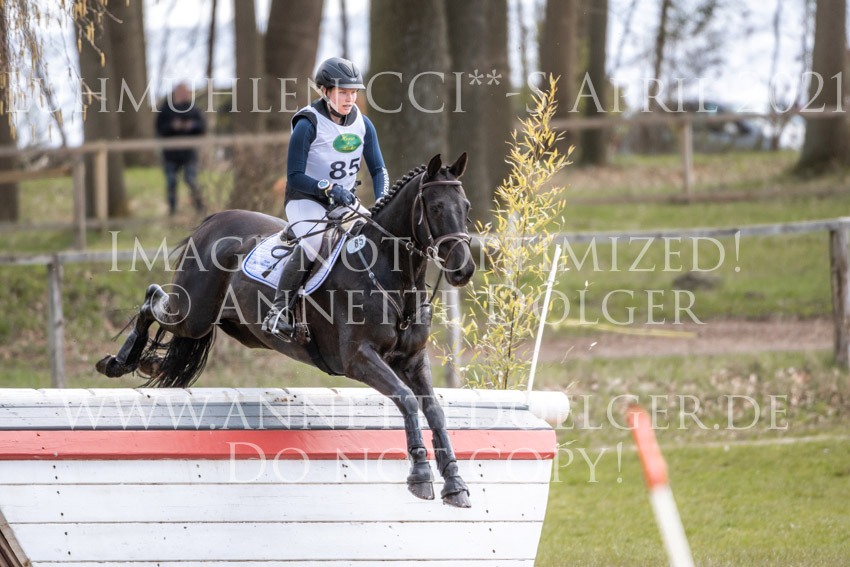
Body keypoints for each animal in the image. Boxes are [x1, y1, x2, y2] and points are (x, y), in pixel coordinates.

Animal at [95, 153, 476, 507]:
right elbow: (407, 399)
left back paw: (149, 363)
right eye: (436, 207)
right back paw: (119, 361)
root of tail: (215, 220)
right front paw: (420, 476)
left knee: (176, 337)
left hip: (229, 326)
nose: (464, 271)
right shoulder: (358, 359)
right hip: (193, 312)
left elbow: (434, 410)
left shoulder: (412, 359)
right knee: (153, 300)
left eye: (466, 207)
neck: (388, 274)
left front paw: (455, 483)